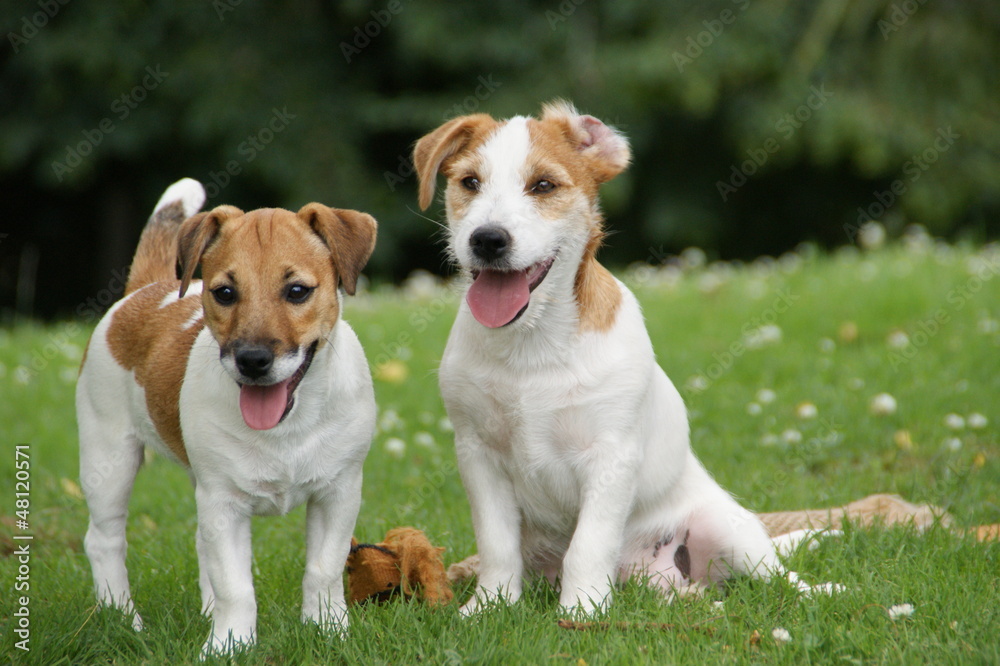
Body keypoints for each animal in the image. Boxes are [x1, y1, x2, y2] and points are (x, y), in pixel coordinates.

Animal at [75, 178, 378, 652]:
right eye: (225, 293)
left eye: (297, 291)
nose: (252, 360)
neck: (288, 424)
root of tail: (142, 290)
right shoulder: (224, 502)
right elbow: (235, 584)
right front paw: (229, 645)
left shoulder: (339, 492)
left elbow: (323, 569)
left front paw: (329, 629)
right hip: (108, 456)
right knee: (104, 541)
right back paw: (123, 618)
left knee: (199, 543)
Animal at [414, 100, 780, 612]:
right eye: (469, 182)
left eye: (543, 185)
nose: (487, 239)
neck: (532, 343)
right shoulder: (478, 455)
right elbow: (496, 543)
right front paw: (490, 606)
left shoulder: (611, 456)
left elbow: (589, 544)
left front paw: (582, 609)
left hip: (730, 531)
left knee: (781, 580)